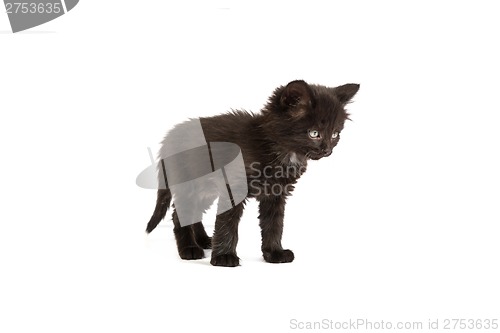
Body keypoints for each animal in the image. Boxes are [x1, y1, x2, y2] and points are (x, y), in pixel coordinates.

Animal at [145, 79, 360, 266]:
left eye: (335, 134)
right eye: (314, 133)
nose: (327, 150)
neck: (278, 150)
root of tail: (169, 136)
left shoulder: (276, 194)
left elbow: (274, 224)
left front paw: (274, 253)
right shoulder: (233, 186)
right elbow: (227, 222)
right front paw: (224, 257)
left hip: (205, 189)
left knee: (192, 211)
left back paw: (204, 240)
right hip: (190, 184)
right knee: (180, 214)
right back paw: (190, 249)